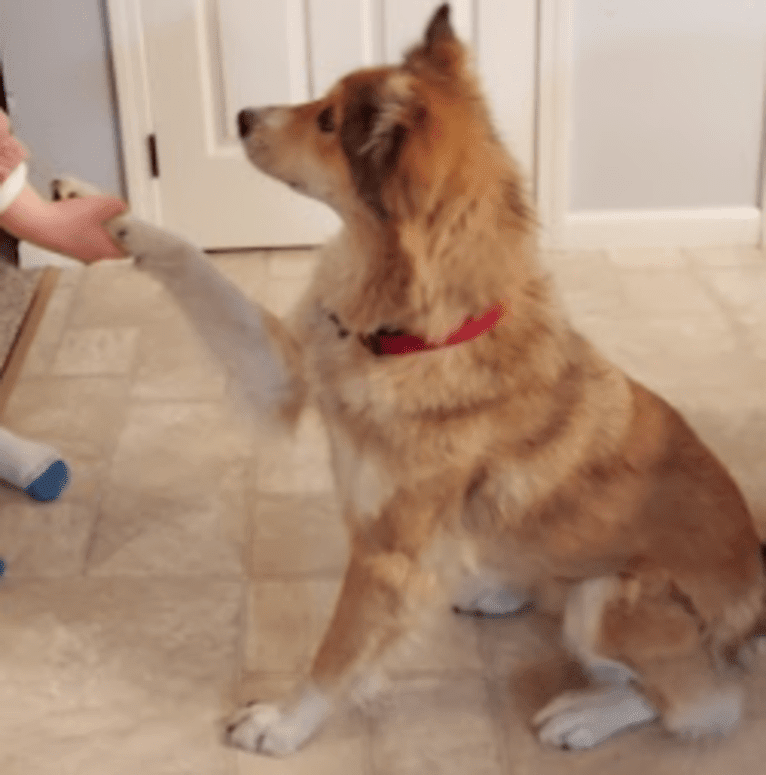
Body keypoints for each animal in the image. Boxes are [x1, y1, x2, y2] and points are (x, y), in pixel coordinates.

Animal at [61, 4, 766, 756]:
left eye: (328, 122)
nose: (244, 115)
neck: (415, 336)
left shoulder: (385, 555)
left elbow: (337, 655)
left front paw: (281, 724)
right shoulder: (287, 371)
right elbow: (192, 261)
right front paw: (108, 213)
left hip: (610, 601)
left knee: (699, 703)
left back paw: (587, 712)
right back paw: (499, 588)